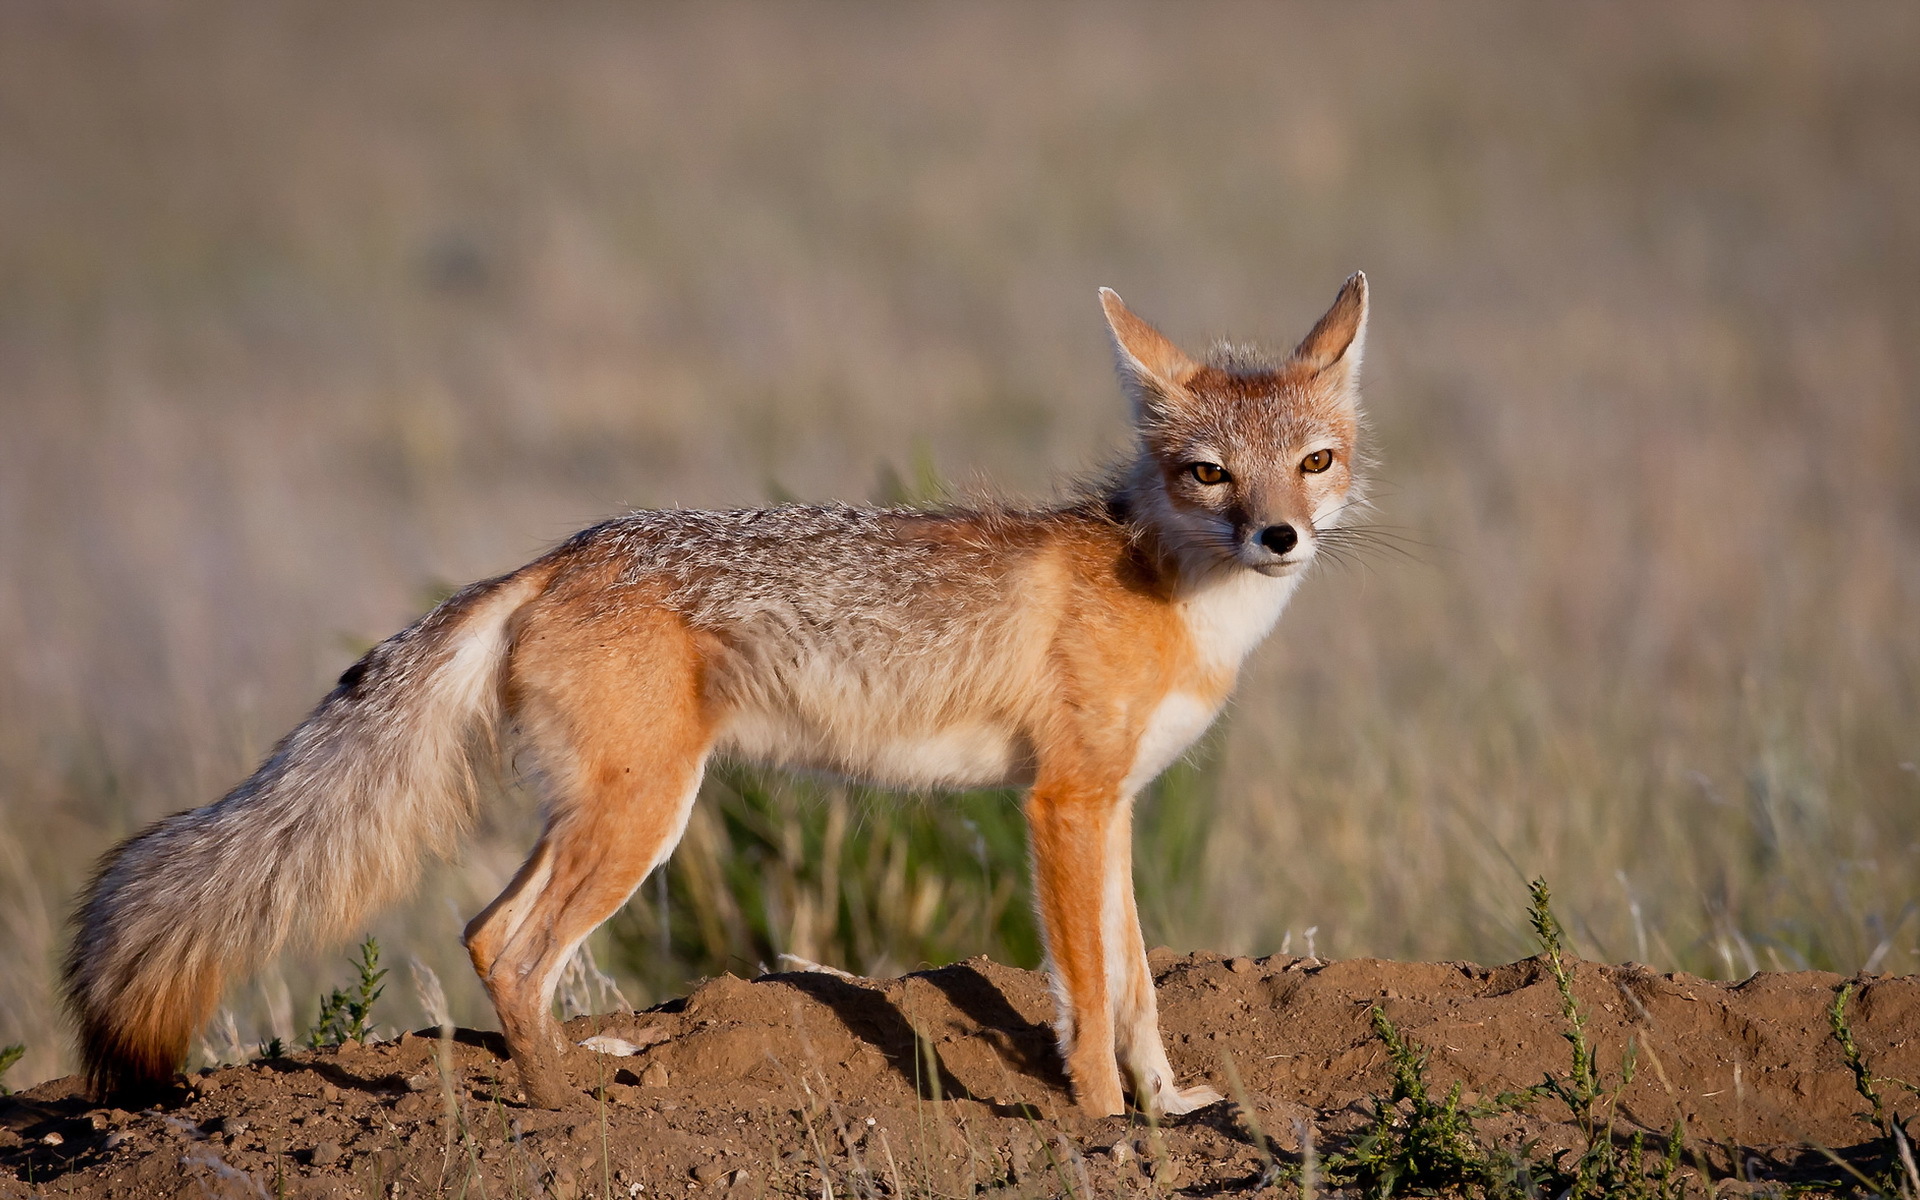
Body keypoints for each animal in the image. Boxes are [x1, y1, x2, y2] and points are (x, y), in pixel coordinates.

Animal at [67, 270, 1374, 1113]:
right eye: (1207, 473)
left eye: (1314, 463)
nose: (1279, 538)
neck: (1175, 591)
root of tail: (563, 552)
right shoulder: (1060, 807)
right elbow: (1091, 995)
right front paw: (1103, 1124)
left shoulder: (1115, 808)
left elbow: (1140, 983)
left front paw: (1172, 1103)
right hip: (646, 816)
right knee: (511, 947)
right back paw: (563, 1115)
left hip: (606, 813)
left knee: (487, 932)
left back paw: (572, 1073)